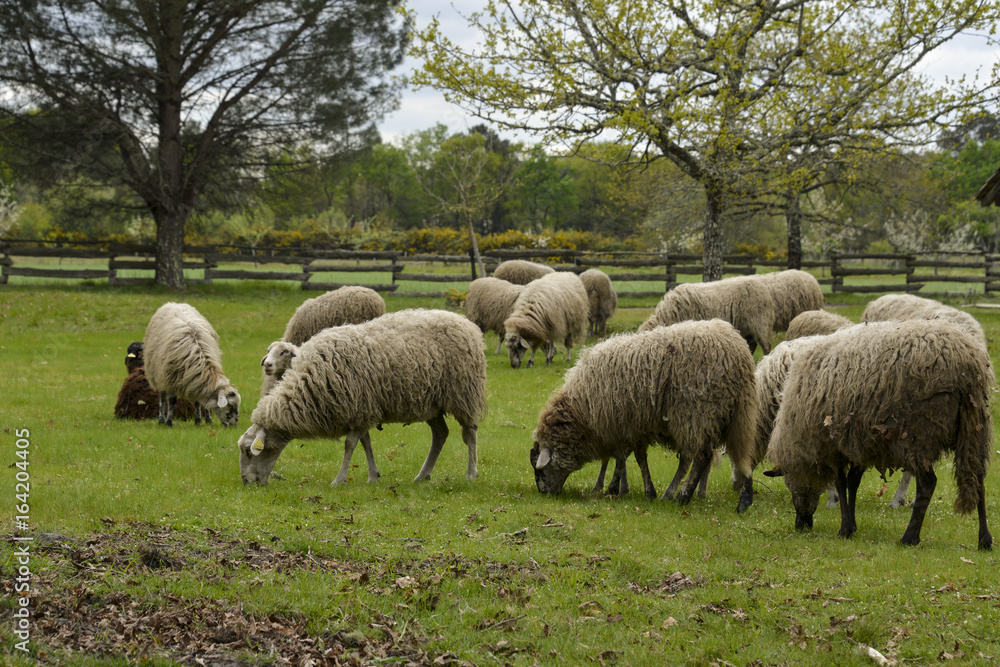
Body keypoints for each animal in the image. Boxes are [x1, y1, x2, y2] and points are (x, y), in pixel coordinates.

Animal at [238, 309, 487, 487]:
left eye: (248, 451)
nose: (246, 482)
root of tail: (465, 322)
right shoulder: (362, 409)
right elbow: (365, 442)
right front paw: (373, 476)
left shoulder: (360, 408)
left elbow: (350, 444)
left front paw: (338, 480)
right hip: (431, 403)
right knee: (440, 434)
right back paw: (422, 475)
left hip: (463, 394)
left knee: (470, 433)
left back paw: (471, 473)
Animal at [529, 319, 758, 511]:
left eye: (539, 470)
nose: (545, 494)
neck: (580, 409)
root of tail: (738, 352)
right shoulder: (622, 427)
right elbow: (622, 459)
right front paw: (618, 488)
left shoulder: (626, 425)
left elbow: (633, 459)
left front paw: (637, 491)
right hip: (738, 414)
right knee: (743, 454)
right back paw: (743, 501)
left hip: (697, 414)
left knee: (703, 456)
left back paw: (683, 496)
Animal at [638, 276, 775, 354]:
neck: (668, 315)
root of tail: (764, 289)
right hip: (746, 327)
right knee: (752, 344)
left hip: (760, 323)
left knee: (766, 346)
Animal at [765, 319, 994, 549]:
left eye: (790, 485)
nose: (801, 525)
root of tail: (967, 366)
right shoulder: (856, 442)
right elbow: (853, 482)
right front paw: (852, 526)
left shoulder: (832, 444)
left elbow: (840, 482)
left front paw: (844, 529)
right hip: (975, 427)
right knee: (979, 479)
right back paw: (985, 539)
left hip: (920, 433)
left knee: (928, 484)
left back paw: (910, 537)